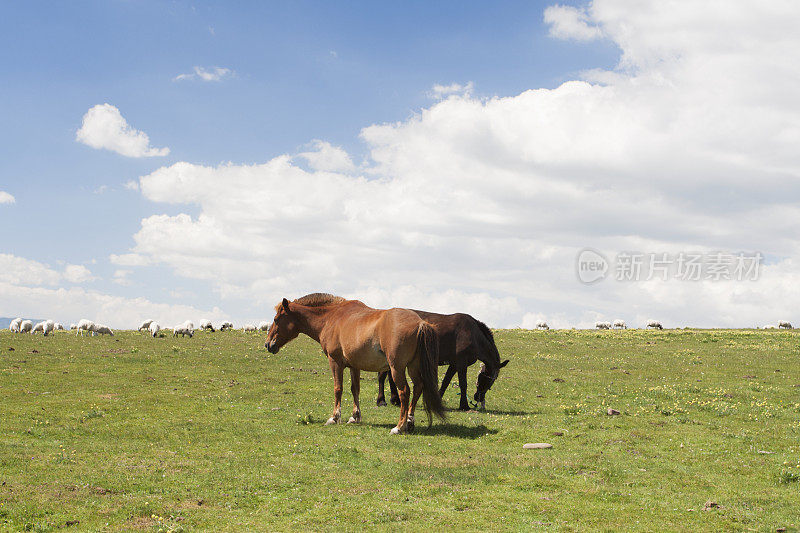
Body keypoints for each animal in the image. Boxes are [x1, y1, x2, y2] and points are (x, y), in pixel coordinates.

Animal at [266, 294, 446, 434]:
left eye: (276, 319)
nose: (268, 344)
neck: (331, 318)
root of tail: (419, 323)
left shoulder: (335, 362)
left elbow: (338, 389)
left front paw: (334, 417)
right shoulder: (354, 366)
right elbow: (355, 389)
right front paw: (354, 416)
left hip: (397, 369)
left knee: (405, 392)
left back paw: (399, 427)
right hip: (412, 367)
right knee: (418, 387)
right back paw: (409, 421)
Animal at [378, 310, 510, 410]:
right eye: (491, 379)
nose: (478, 397)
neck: (473, 335)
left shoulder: (454, 364)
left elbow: (446, 382)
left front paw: (438, 400)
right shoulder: (461, 363)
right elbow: (463, 383)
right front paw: (464, 405)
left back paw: (394, 399)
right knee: (382, 376)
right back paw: (382, 401)